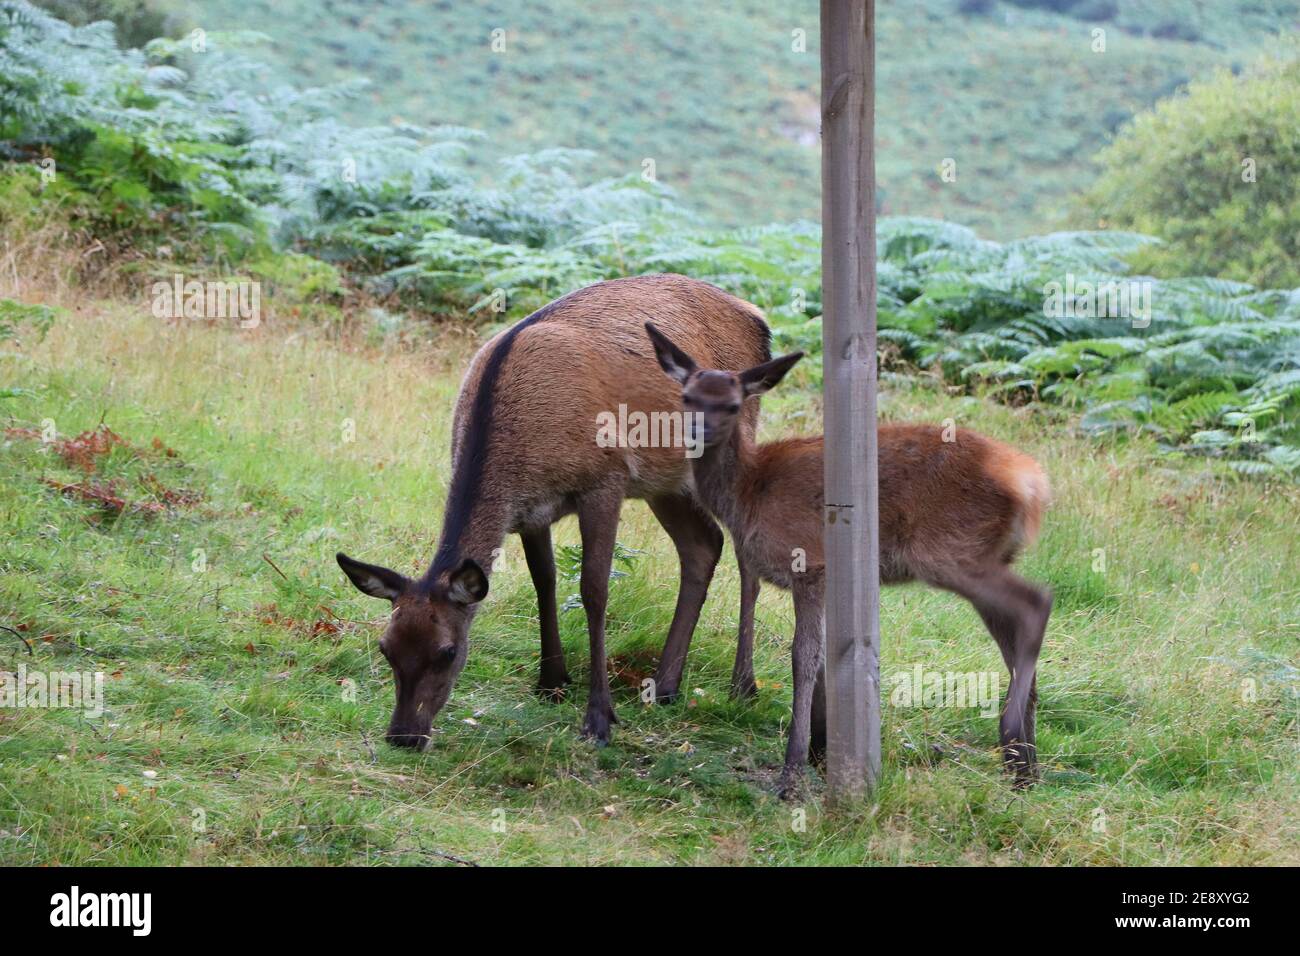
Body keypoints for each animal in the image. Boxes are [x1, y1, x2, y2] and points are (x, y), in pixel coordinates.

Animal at [335, 274, 773, 750]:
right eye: (386, 647)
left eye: (447, 651)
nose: (403, 735)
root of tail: (758, 320)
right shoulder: (532, 511)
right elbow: (543, 580)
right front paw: (551, 680)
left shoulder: (606, 479)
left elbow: (593, 590)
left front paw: (599, 718)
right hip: (667, 482)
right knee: (703, 545)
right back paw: (666, 685)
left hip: (730, 444)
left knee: (744, 551)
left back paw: (743, 686)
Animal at [645, 322, 1053, 797]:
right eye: (688, 396)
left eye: (731, 404)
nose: (697, 431)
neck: (747, 493)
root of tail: (1030, 484)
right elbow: (822, 661)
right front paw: (817, 753)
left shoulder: (808, 563)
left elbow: (803, 660)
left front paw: (791, 770)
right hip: (985, 555)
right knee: (1014, 630)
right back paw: (1024, 764)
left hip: (948, 550)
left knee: (1036, 601)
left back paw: (1011, 738)